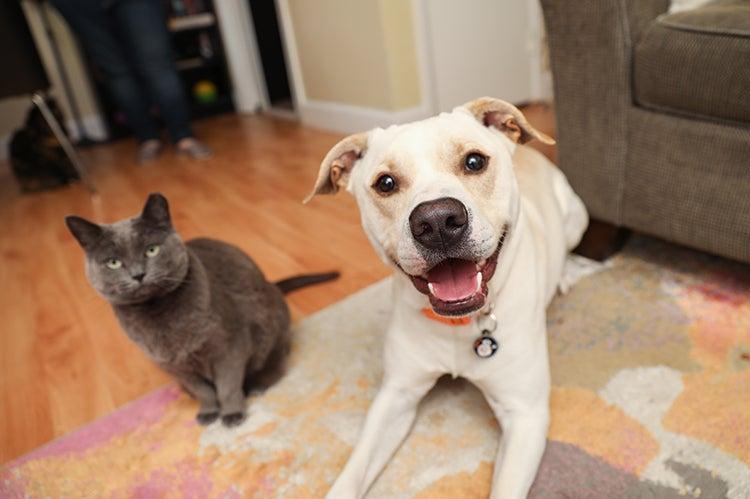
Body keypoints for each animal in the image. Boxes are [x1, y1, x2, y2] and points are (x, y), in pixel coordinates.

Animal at [67, 193, 338, 428]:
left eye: (152, 250)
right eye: (113, 263)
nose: (138, 274)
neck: (159, 316)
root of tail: (272, 285)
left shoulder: (231, 346)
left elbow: (227, 386)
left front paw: (232, 414)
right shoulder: (175, 367)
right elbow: (204, 391)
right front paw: (208, 413)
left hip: (271, 323)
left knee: (277, 357)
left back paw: (258, 383)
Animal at [308, 97, 592, 499]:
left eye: (474, 162)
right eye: (386, 183)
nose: (437, 221)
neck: (459, 323)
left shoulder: (526, 413)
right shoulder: (396, 395)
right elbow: (352, 473)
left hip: (576, 217)